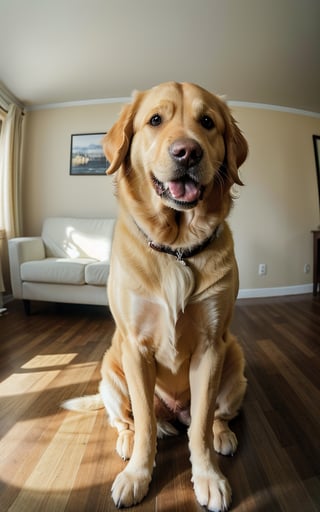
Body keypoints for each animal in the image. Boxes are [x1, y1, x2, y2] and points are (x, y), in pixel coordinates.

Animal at [62, 82, 248, 510]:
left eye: (207, 122)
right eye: (156, 120)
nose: (187, 152)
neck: (176, 248)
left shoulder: (211, 347)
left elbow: (200, 428)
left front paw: (208, 476)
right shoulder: (135, 348)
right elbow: (145, 422)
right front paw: (138, 475)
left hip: (235, 366)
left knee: (212, 418)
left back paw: (222, 434)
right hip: (111, 374)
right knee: (127, 420)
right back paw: (130, 440)